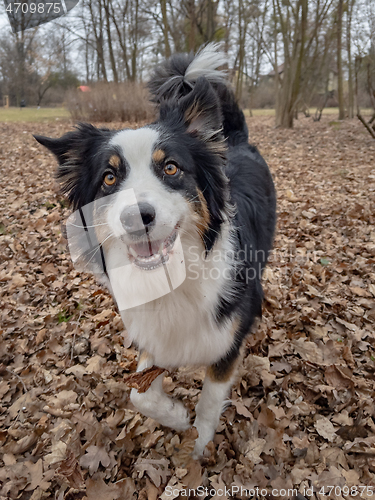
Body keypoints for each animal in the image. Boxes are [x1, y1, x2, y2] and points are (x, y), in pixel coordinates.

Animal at [34, 44, 276, 458]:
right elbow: (139, 394)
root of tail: (236, 141)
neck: (173, 275)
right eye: (109, 178)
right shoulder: (152, 330)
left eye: (171, 168)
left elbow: (209, 402)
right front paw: (175, 417)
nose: (136, 216)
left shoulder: (225, 344)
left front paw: (197, 446)